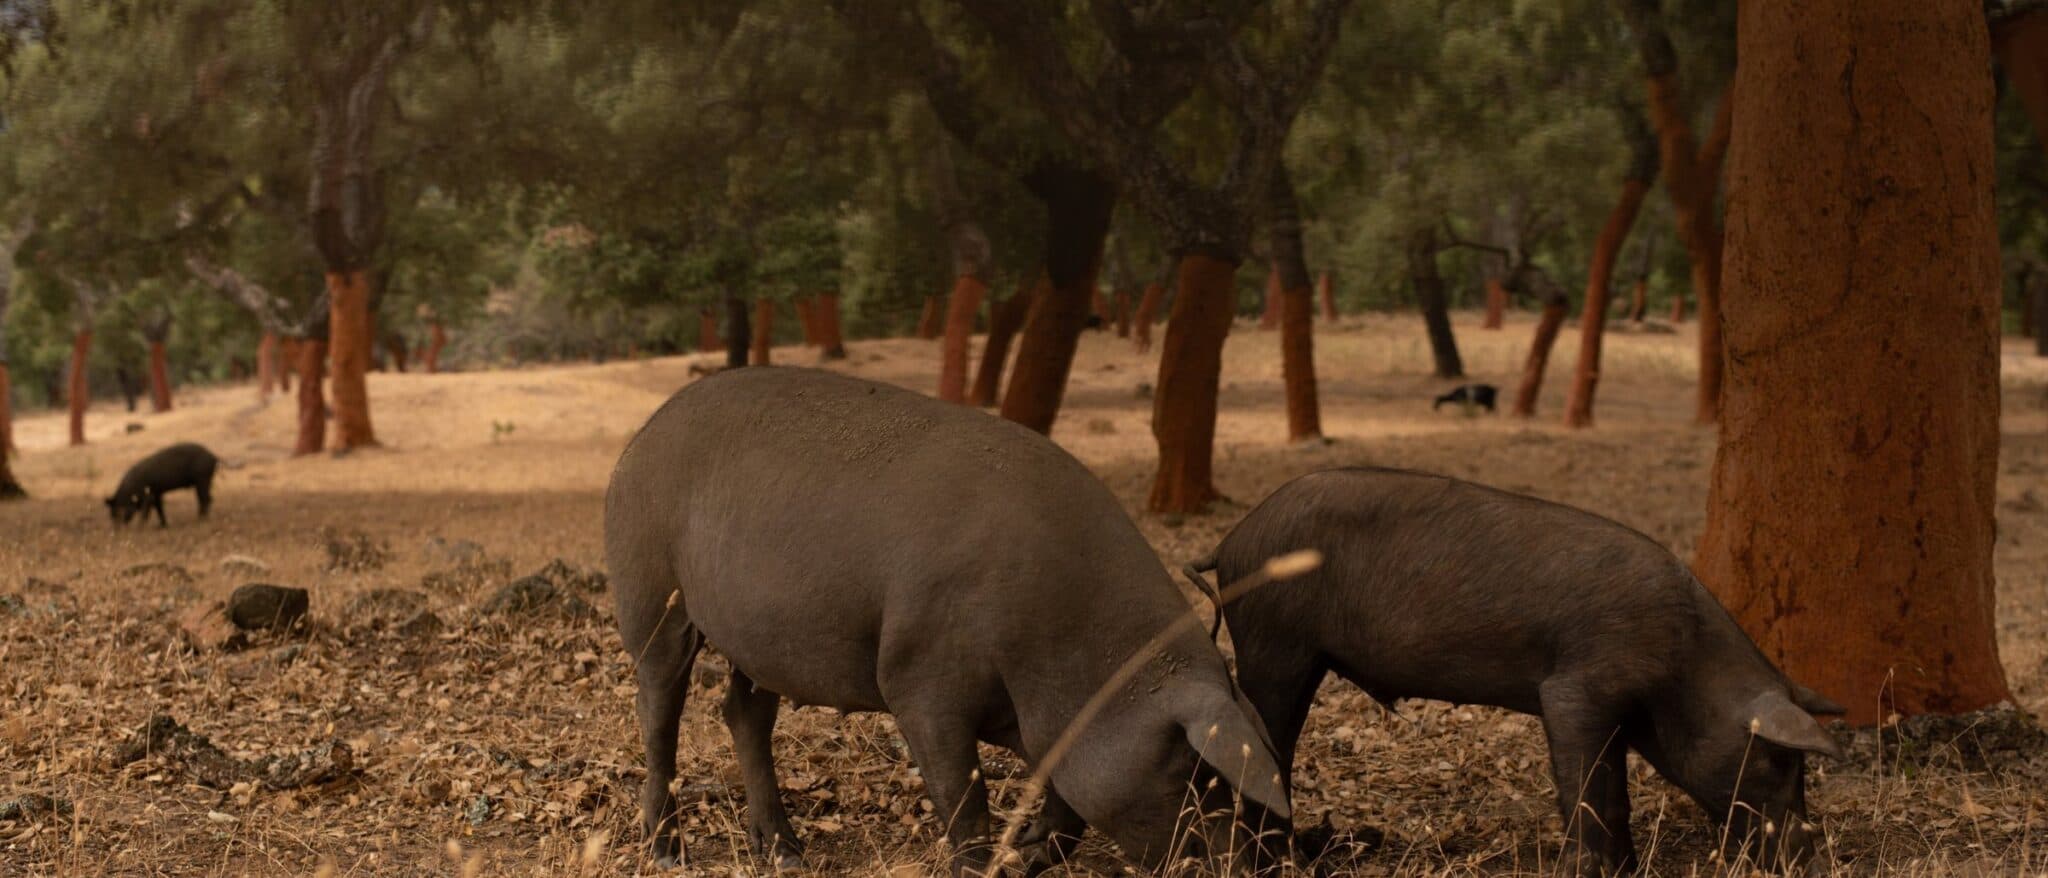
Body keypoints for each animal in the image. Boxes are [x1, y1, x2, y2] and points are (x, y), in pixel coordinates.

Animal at [605, 367, 1291, 875]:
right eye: (1194, 769)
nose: (1244, 862)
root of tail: (640, 435)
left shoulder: (1046, 725)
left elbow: (1066, 799)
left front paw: (1030, 851)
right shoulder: (919, 677)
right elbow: (964, 796)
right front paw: (985, 863)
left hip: (757, 639)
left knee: (744, 713)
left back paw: (787, 854)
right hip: (651, 590)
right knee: (658, 709)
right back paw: (667, 853)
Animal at [1188, 467, 1846, 875]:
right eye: (1778, 759)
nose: (1812, 861)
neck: (1683, 666)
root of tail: (1233, 539)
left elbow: (1615, 794)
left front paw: (1628, 868)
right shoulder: (1574, 689)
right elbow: (1587, 791)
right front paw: (1586, 870)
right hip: (1275, 644)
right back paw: (1278, 864)